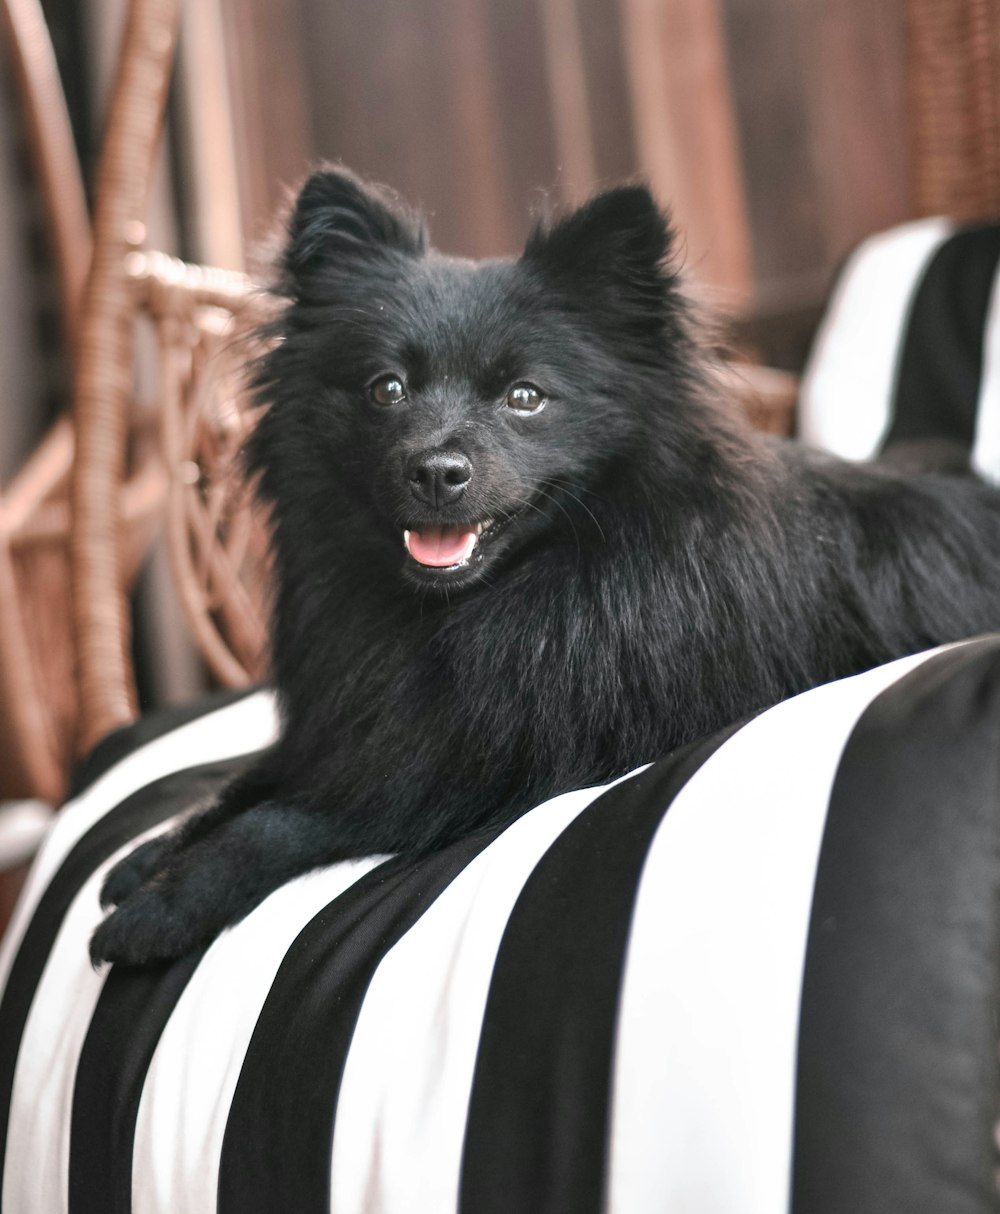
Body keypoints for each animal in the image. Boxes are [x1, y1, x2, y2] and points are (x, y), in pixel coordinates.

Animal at [89, 168, 1000, 966]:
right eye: (386, 389)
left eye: (525, 397)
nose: (435, 469)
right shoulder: (368, 725)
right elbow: (257, 777)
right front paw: (152, 851)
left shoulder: (492, 771)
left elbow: (289, 817)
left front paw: (167, 900)